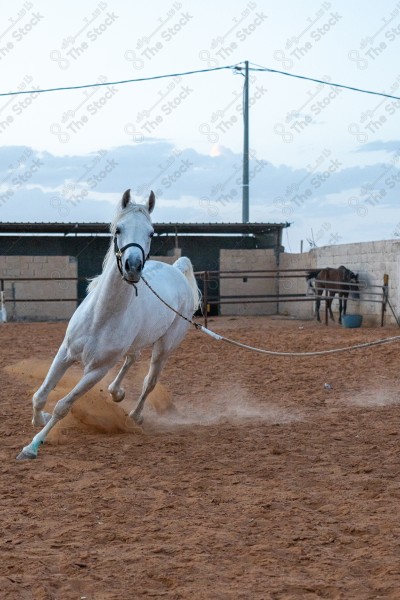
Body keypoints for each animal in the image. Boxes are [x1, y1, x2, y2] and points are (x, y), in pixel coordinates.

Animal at [16, 189, 200, 460]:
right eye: (118, 229)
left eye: (151, 232)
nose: (133, 267)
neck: (100, 317)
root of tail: (177, 270)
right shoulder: (66, 352)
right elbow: (40, 395)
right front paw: (41, 419)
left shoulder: (97, 370)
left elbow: (63, 406)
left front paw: (32, 446)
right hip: (137, 341)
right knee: (132, 358)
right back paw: (116, 393)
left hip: (165, 346)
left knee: (149, 380)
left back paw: (135, 416)